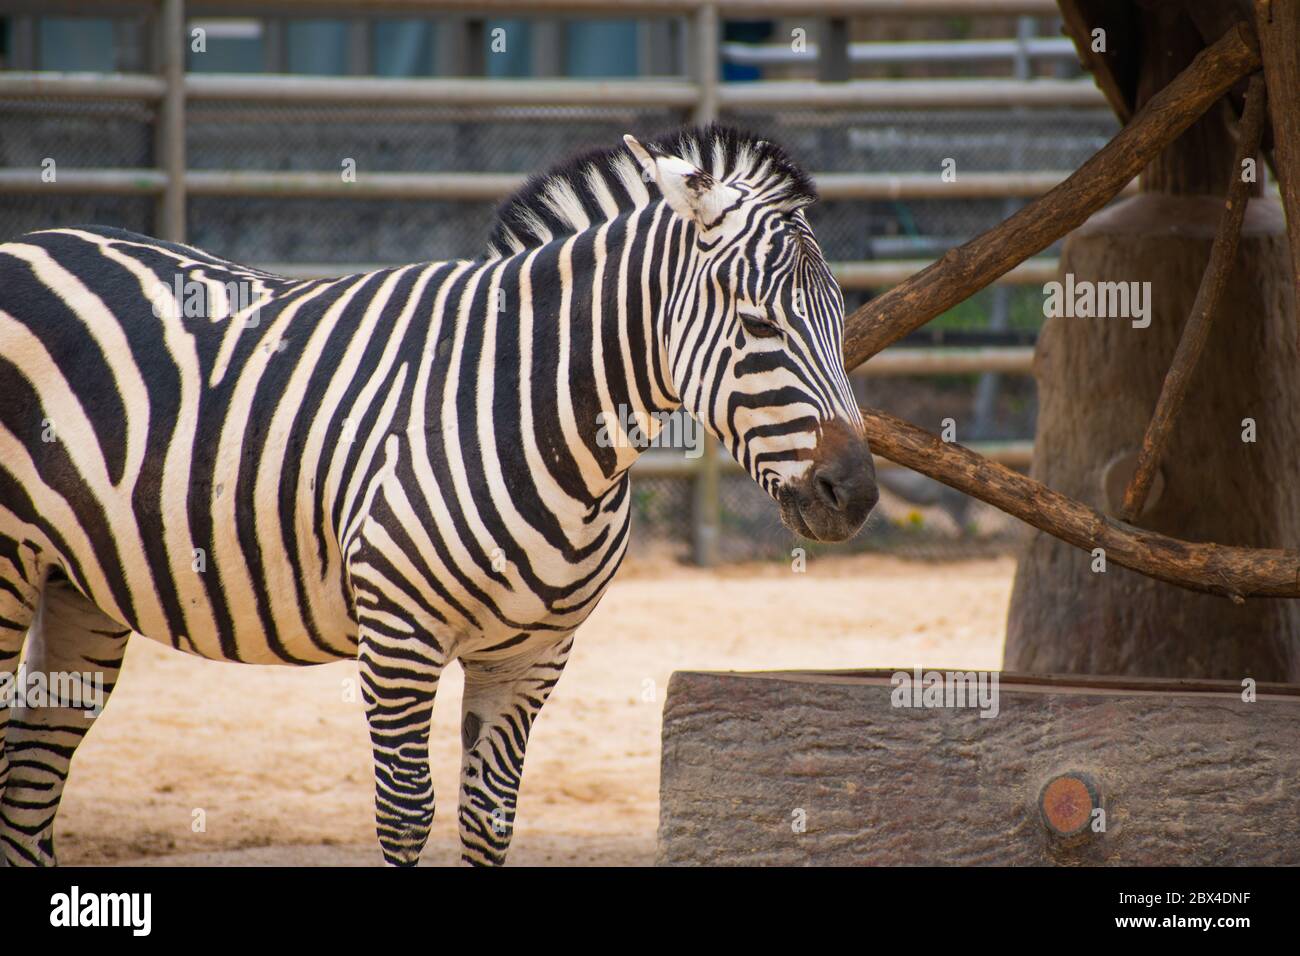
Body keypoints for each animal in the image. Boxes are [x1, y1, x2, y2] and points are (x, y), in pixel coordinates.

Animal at [0, 124, 877, 866]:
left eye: (844, 316)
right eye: (758, 323)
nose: (857, 494)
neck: (532, 416)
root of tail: (31, 241)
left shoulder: (530, 656)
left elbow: (489, 820)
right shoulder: (398, 638)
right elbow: (406, 813)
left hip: (77, 582)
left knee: (30, 784)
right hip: (11, 564)